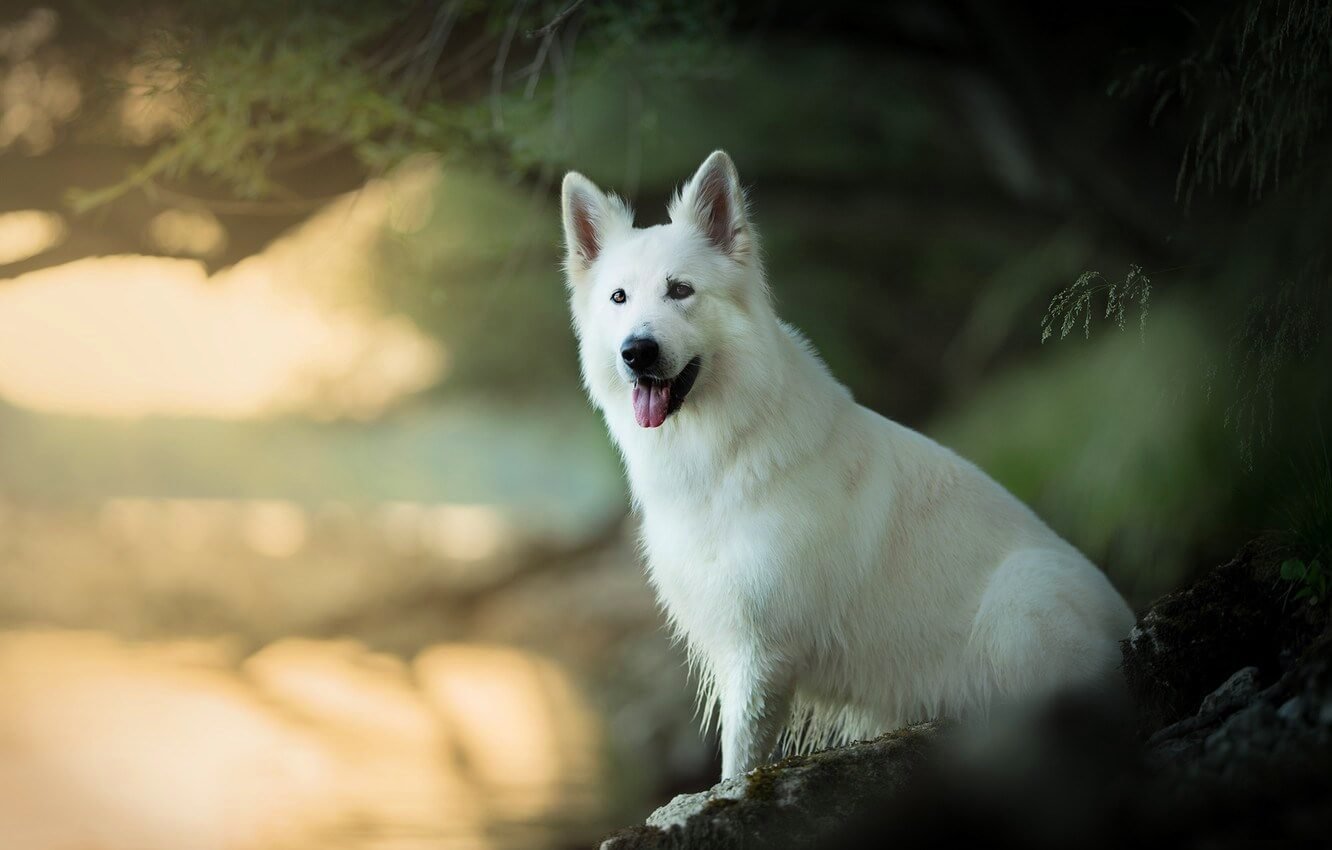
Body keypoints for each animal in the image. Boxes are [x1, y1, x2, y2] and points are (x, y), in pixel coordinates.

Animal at [559, 151, 1134, 778]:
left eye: (681, 290)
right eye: (619, 298)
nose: (636, 352)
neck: (728, 447)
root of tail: (1131, 627)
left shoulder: (763, 653)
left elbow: (739, 762)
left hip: (1020, 598)